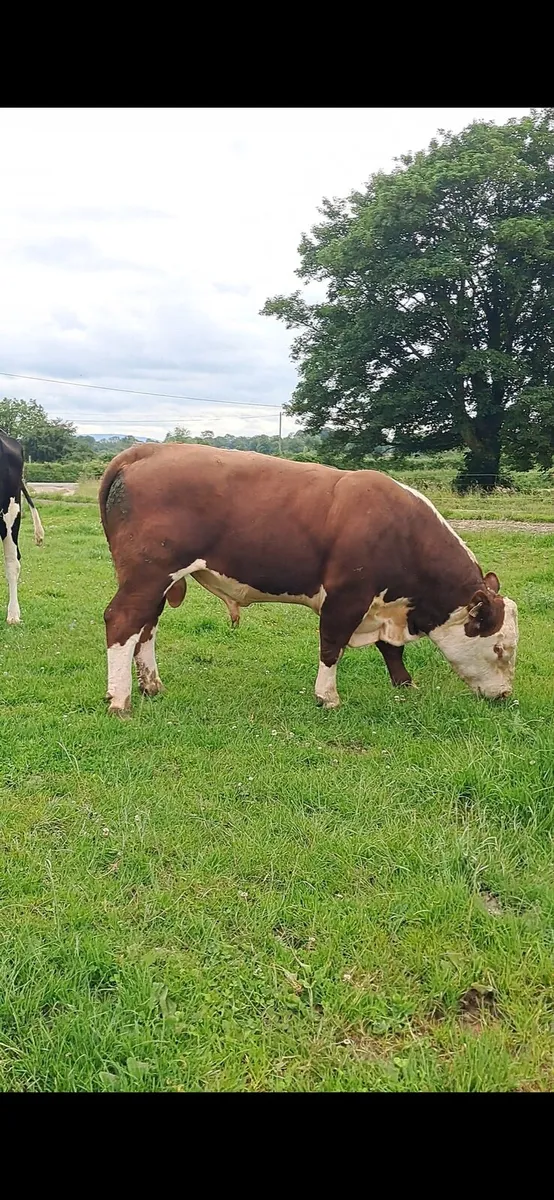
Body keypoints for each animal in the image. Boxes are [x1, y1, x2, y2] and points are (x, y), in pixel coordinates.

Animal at [99, 443, 518, 717]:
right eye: (500, 648)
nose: (504, 696)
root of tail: (148, 450)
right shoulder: (347, 596)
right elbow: (332, 646)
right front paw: (327, 696)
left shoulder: (384, 603)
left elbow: (390, 649)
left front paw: (405, 684)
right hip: (149, 574)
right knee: (122, 621)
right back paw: (120, 700)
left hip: (156, 581)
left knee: (146, 626)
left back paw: (151, 684)